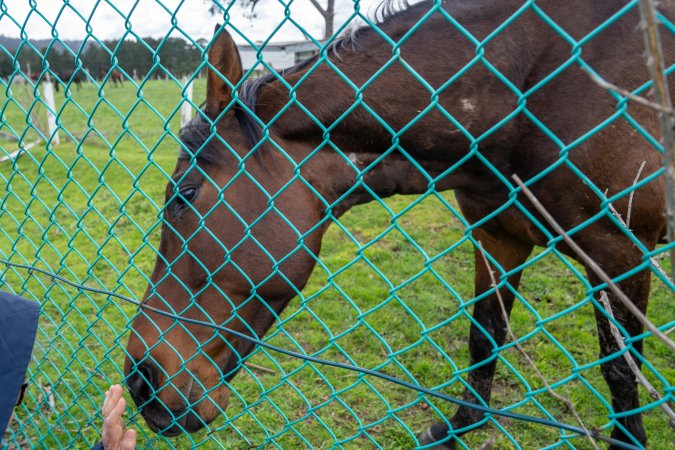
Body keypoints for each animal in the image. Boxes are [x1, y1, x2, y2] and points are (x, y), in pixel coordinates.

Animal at [124, 0, 673, 447]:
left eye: (185, 195)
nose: (140, 381)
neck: (528, 92)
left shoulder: (619, 250)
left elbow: (622, 373)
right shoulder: (498, 234)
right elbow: (485, 335)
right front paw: (456, 429)